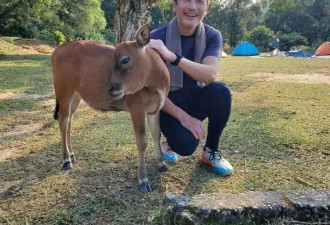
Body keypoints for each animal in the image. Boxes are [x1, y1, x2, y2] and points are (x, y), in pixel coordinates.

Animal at [52, 25, 170, 193]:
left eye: (125, 59)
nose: (109, 88)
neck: (156, 87)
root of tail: (58, 49)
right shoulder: (137, 109)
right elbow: (142, 142)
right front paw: (143, 179)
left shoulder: (155, 109)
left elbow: (156, 134)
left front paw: (161, 163)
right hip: (63, 91)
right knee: (62, 121)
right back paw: (66, 159)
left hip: (75, 96)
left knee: (68, 119)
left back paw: (71, 154)